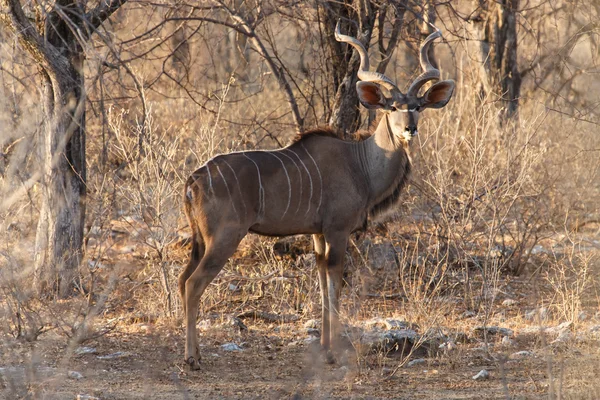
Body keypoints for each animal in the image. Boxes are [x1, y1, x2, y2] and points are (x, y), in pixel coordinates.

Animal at [179, 20, 454, 368]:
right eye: (392, 107)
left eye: (417, 107)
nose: (410, 129)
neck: (360, 162)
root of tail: (194, 179)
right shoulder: (337, 231)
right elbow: (335, 285)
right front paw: (333, 352)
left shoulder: (318, 234)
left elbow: (323, 285)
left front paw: (324, 347)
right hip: (224, 238)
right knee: (192, 284)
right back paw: (192, 358)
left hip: (200, 242)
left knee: (181, 281)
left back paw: (196, 352)